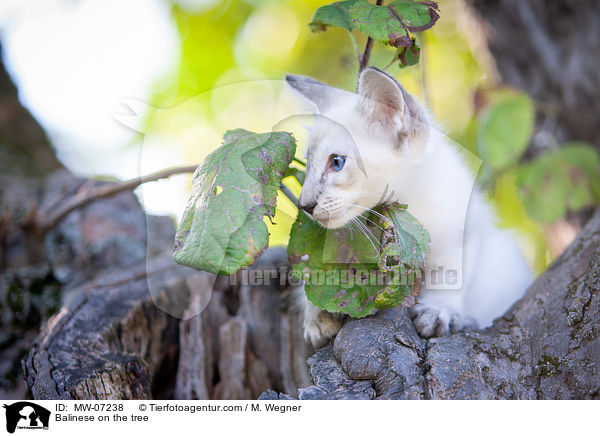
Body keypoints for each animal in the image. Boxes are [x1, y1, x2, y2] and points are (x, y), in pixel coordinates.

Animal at [286, 68, 536, 348]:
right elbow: (318, 277)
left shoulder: (466, 231)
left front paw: (438, 311)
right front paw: (318, 316)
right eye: (308, 165)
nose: (305, 205)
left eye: (337, 163)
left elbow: (450, 275)